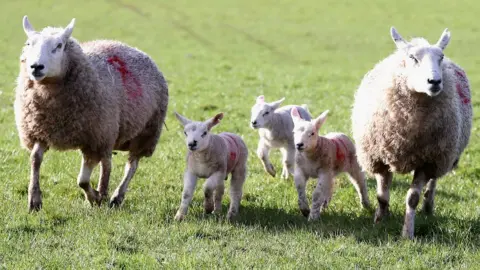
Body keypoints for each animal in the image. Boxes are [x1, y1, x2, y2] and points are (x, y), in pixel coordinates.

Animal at [15, 16, 169, 211]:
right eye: (29, 43)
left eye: (59, 45)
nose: (36, 67)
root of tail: (135, 49)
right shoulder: (40, 131)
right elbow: (35, 159)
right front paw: (34, 199)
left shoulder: (95, 139)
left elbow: (83, 179)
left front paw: (95, 197)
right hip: (108, 134)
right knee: (105, 164)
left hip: (143, 132)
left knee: (130, 165)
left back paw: (115, 196)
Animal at [350, 26, 474, 238]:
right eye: (412, 58)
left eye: (440, 57)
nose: (435, 81)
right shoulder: (379, 157)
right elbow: (382, 196)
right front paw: (379, 221)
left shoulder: (427, 161)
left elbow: (412, 199)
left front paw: (407, 233)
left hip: (443, 154)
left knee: (433, 181)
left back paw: (428, 206)